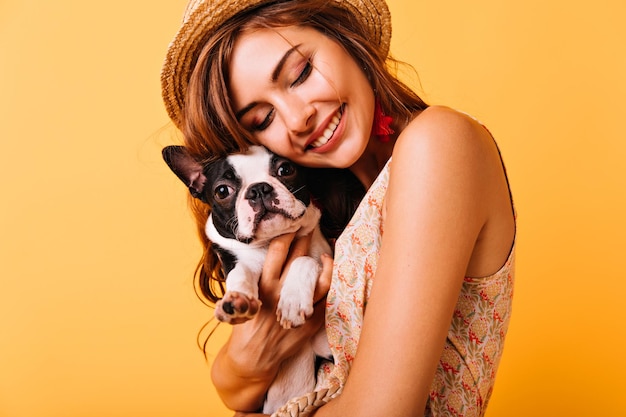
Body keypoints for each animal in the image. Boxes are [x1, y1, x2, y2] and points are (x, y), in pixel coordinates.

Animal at [163, 145, 332, 412]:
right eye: (222, 191)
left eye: (286, 169)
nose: (259, 189)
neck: (268, 244)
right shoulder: (235, 263)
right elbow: (240, 273)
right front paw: (237, 300)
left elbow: (304, 260)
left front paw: (293, 302)